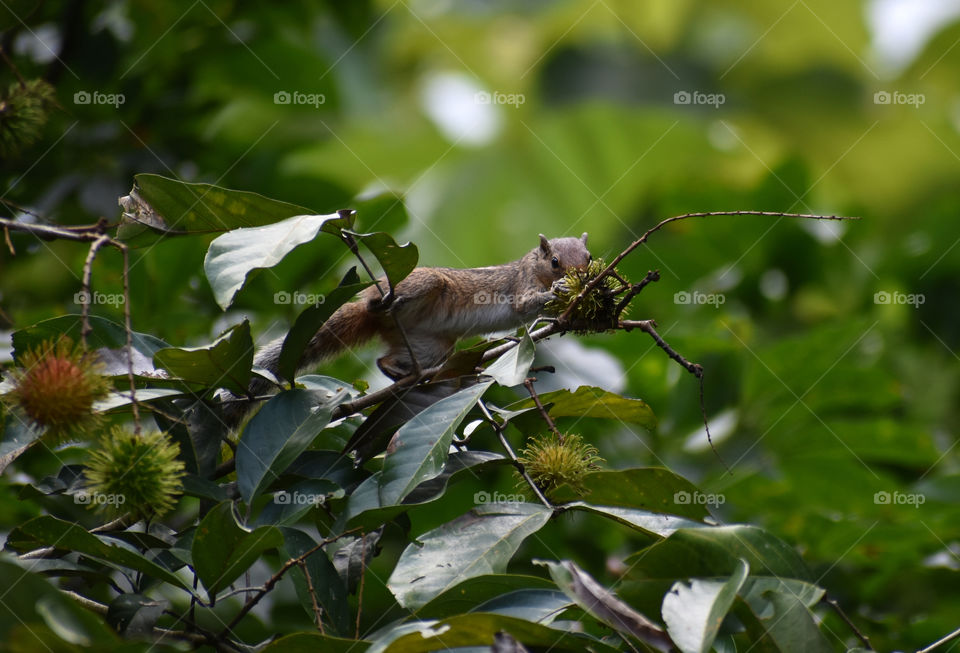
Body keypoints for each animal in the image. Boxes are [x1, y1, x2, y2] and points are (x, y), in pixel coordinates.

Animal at [221, 233, 591, 426]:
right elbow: (525, 304)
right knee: (377, 305)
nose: (581, 276)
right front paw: (557, 291)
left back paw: (405, 375)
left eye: (588, 257)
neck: (532, 265)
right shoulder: (520, 285)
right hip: (422, 284)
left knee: (387, 360)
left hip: (432, 346)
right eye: (555, 261)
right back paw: (383, 304)